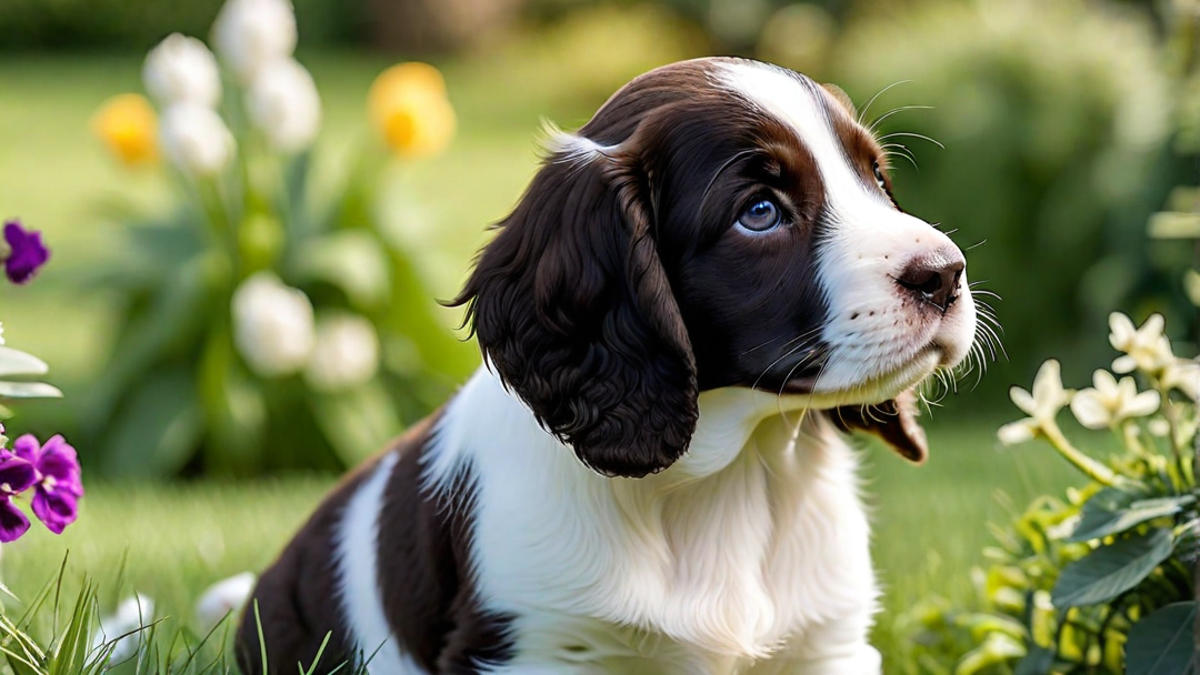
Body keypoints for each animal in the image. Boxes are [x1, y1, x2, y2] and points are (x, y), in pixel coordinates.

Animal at [231, 57, 974, 672]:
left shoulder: (828, 644)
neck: (727, 479)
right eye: (760, 212)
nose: (945, 274)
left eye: (875, 177)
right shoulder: (535, 643)